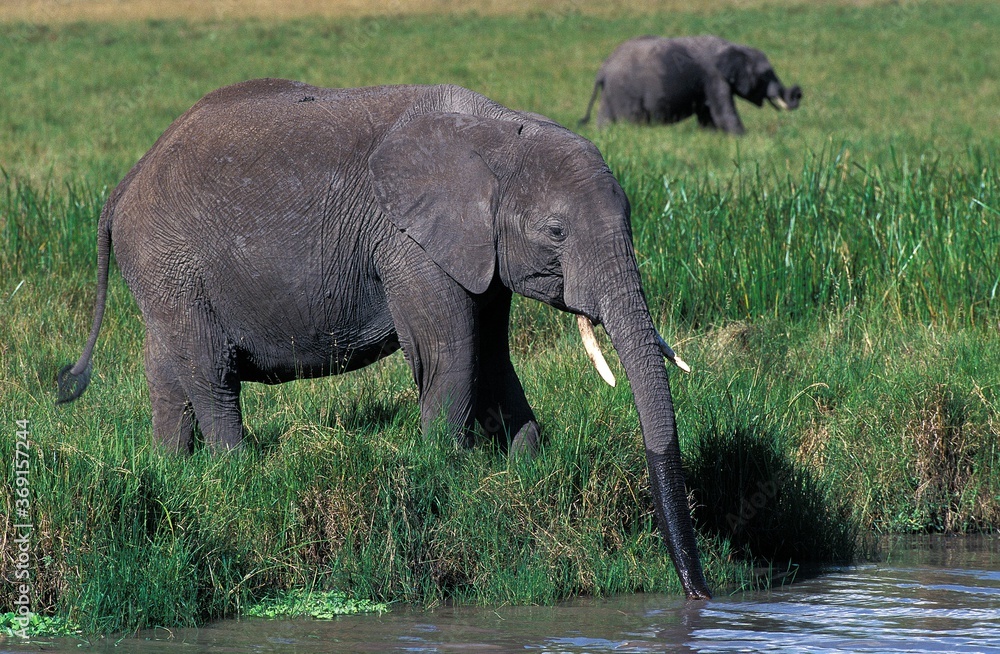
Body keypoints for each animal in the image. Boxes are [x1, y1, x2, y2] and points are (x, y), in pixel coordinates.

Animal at [57, 78, 710, 599]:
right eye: (555, 231)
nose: (699, 596)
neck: (496, 132)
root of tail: (124, 184)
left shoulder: (478, 248)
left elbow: (493, 357)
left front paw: (528, 470)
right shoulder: (408, 242)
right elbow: (452, 355)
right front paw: (444, 476)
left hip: (161, 276)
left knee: (167, 374)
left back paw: (173, 471)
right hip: (175, 267)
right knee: (209, 371)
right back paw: (239, 471)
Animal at [580, 35, 802, 135]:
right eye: (766, 75)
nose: (798, 92)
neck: (734, 46)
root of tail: (603, 68)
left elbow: (707, 114)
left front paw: (711, 135)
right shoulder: (714, 77)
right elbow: (723, 112)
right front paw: (742, 137)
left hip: (611, 92)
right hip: (625, 90)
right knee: (632, 119)